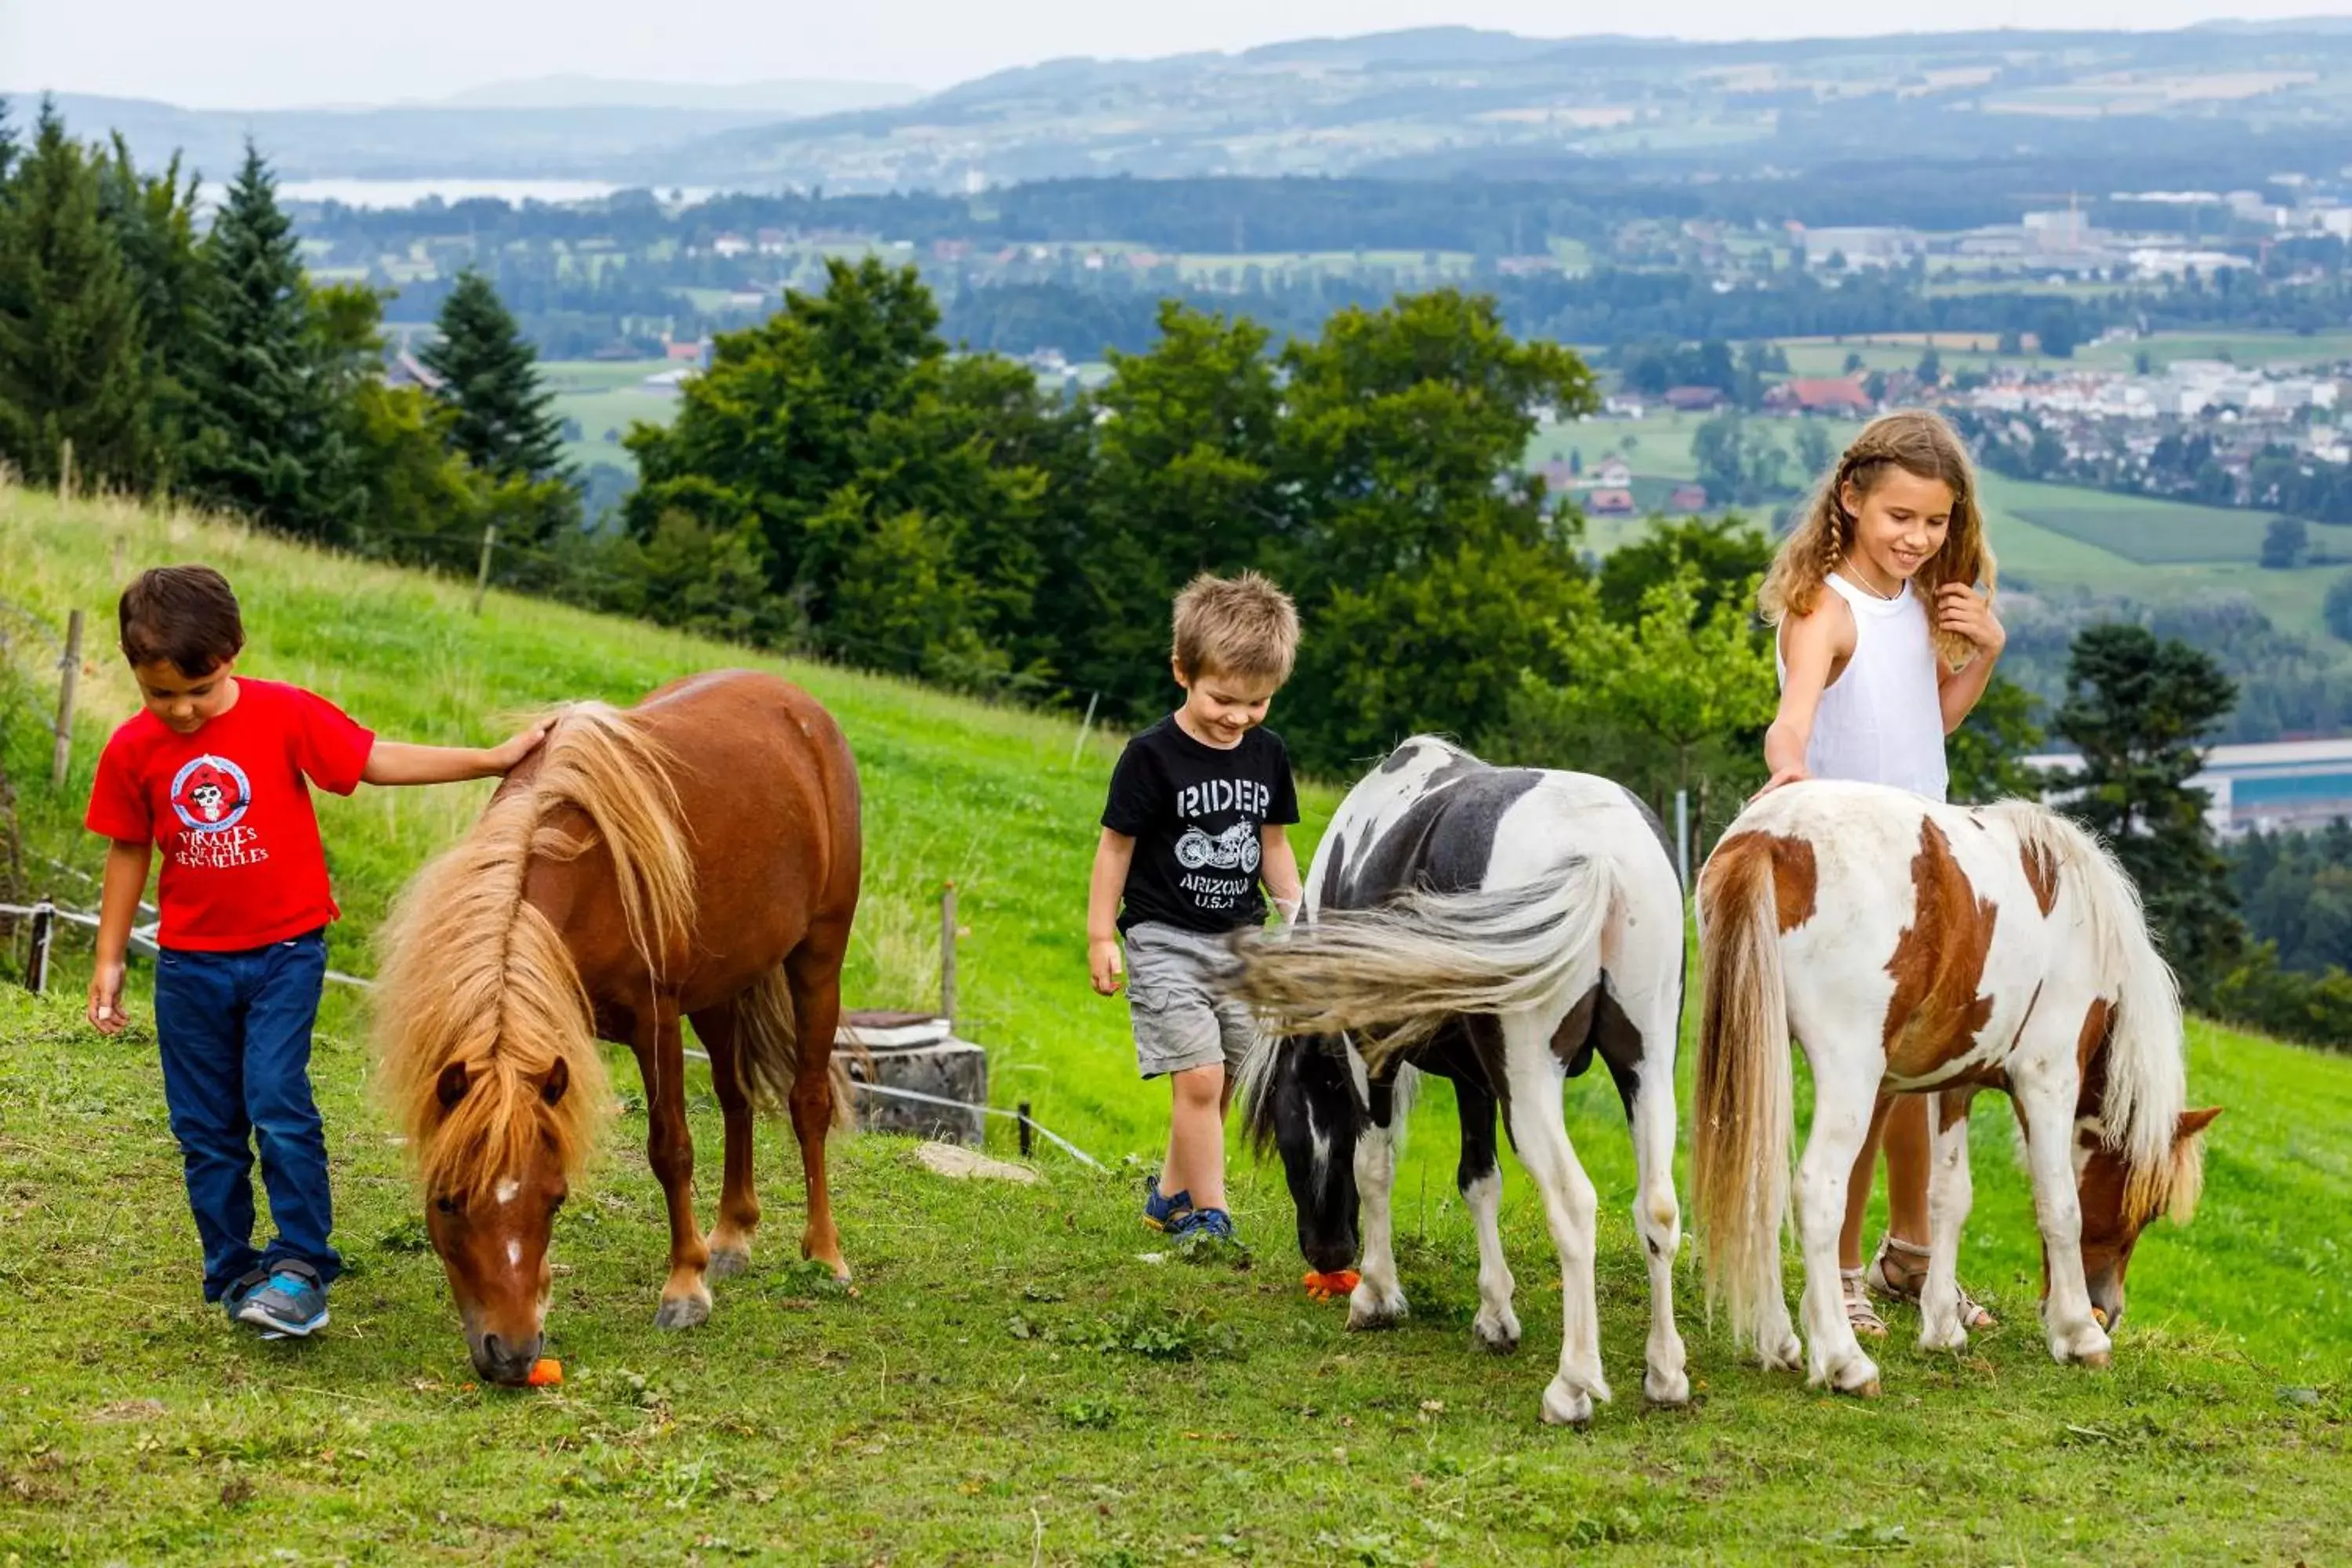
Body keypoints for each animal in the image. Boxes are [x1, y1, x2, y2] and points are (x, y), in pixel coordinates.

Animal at [376, 672, 866, 1382]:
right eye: (446, 1201)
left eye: (555, 1200)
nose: (512, 1354)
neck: (588, 862)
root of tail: (801, 707)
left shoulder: (654, 1020)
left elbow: (671, 1147)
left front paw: (684, 1289)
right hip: (719, 989)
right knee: (736, 1099)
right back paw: (732, 1236)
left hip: (817, 960)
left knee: (808, 1104)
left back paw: (825, 1256)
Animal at [1232, 738, 1693, 1420]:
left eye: (1286, 1139)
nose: (1327, 1255)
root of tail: (1600, 855)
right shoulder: (1476, 1082)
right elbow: (1480, 1181)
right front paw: (1495, 1314)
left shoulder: (1369, 1055)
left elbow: (1374, 1164)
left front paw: (1376, 1296)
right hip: (1646, 1068)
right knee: (1658, 1206)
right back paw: (1664, 1374)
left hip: (1532, 1086)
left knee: (1573, 1205)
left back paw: (1574, 1384)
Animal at [1703, 785, 2211, 1401]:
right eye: (2151, 1209)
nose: (2105, 1310)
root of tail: (1769, 839)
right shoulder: (2047, 1080)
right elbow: (2061, 1205)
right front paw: (2078, 1336)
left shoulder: (1956, 1085)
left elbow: (1949, 1196)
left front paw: (1942, 1326)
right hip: (1850, 1076)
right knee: (1818, 1193)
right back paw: (1844, 1360)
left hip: (1761, 1049)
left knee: (1761, 1182)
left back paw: (1779, 1342)